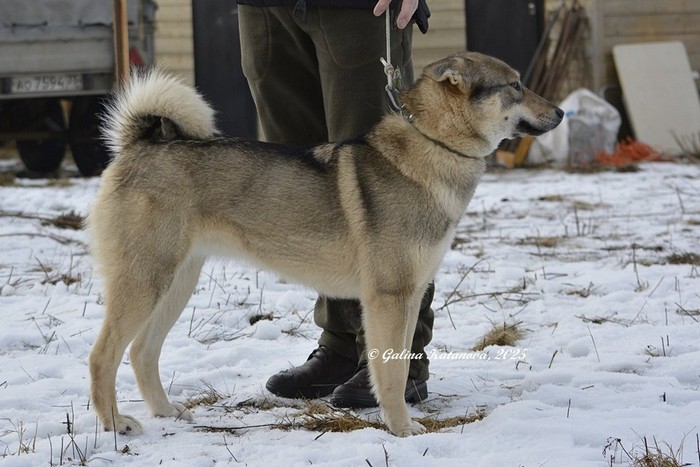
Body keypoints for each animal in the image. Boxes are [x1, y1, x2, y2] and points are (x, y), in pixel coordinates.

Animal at [88, 51, 563, 437]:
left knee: (141, 352)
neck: (432, 146)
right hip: (146, 283)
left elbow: (399, 361)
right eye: (515, 85)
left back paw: (165, 412)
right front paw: (402, 429)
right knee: (103, 355)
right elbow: (390, 373)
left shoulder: (409, 297)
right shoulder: (388, 298)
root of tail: (139, 144)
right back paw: (114, 423)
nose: (561, 112)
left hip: (175, 284)